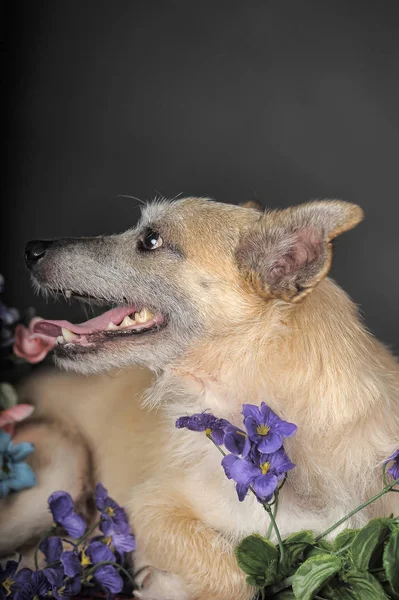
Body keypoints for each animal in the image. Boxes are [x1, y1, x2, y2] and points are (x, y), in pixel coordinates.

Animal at [0, 197, 399, 600]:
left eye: (151, 240)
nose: (32, 249)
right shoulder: (149, 506)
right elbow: (234, 577)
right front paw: (163, 586)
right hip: (62, 462)